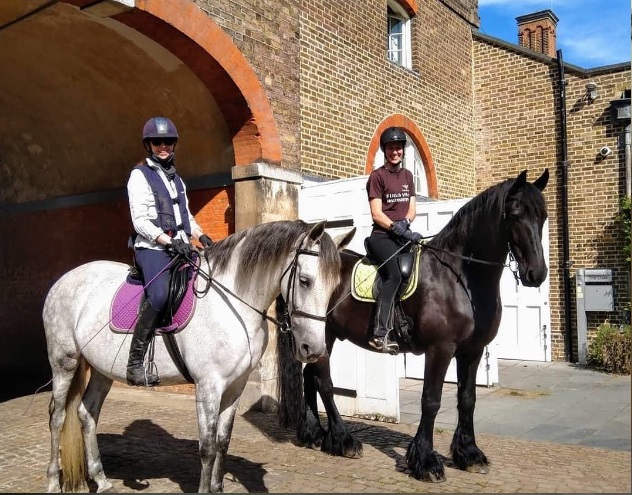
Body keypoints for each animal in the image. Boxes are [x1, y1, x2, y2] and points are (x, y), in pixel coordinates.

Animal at [276, 170, 548, 484]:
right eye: (515, 213)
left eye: (542, 215)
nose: (536, 274)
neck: (457, 276)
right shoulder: (440, 349)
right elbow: (431, 400)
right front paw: (426, 462)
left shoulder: (473, 350)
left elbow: (467, 398)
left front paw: (469, 454)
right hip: (323, 334)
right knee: (324, 382)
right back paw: (343, 441)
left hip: (319, 337)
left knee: (310, 378)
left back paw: (314, 434)